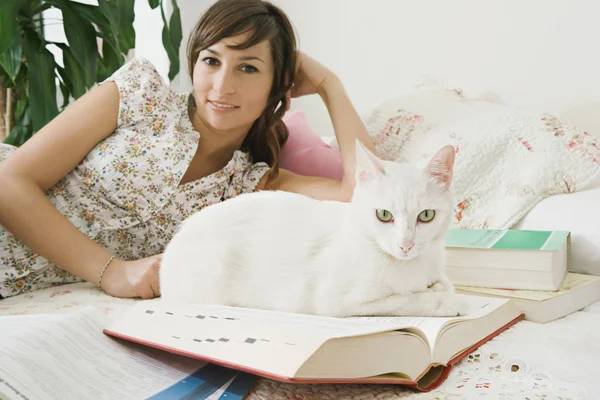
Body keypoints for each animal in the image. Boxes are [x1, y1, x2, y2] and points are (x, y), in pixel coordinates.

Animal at [158, 141, 464, 318]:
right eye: (384, 215)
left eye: (426, 216)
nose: (406, 245)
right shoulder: (337, 302)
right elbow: (404, 301)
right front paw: (445, 302)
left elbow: (442, 282)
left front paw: (440, 287)